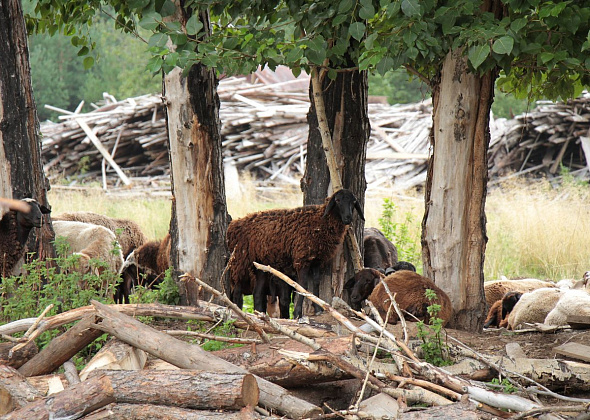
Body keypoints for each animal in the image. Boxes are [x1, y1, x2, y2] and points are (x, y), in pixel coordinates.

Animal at [230, 188, 366, 318]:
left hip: (260, 264)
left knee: (257, 293)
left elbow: (316, 283)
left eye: (354, 202)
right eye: (337, 200)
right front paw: (297, 312)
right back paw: (236, 312)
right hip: (240, 260)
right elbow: (302, 285)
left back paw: (259, 314)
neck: (320, 222)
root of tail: (234, 223)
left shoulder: (317, 260)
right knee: (236, 290)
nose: (348, 218)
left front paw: (318, 309)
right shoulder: (302, 259)